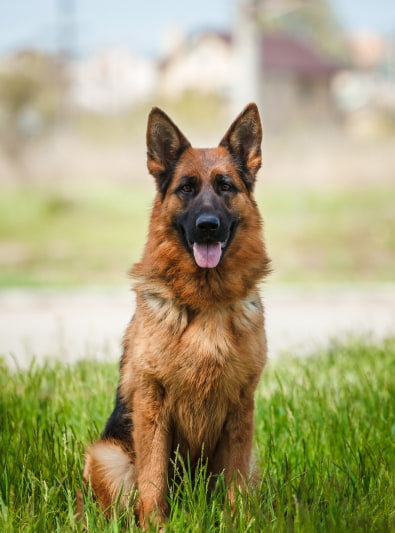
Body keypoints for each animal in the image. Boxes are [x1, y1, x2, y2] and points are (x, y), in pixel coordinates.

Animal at [82, 102, 270, 524]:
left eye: (225, 186)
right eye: (186, 188)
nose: (207, 227)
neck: (206, 302)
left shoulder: (241, 410)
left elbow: (234, 482)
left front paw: (237, 522)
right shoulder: (152, 406)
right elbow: (153, 480)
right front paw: (155, 525)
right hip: (107, 456)